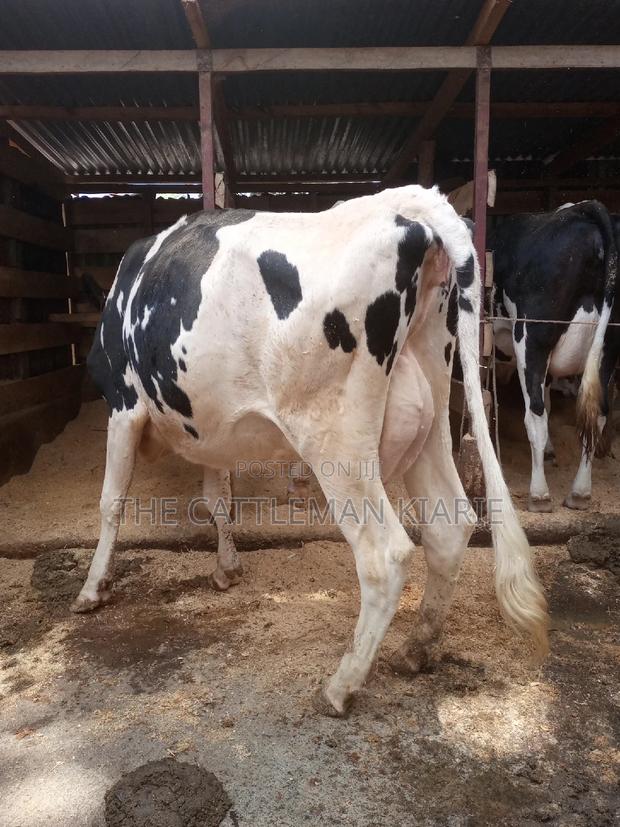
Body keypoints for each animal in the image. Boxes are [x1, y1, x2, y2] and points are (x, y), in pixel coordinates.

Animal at [74, 186, 548, 717]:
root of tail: (407, 202)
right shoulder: (211, 430)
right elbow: (217, 501)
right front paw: (226, 568)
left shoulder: (122, 404)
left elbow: (111, 502)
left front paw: (92, 588)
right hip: (431, 405)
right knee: (448, 525)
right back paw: (416, 649)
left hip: (337, 440)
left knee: (385, 553)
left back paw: (342, 684)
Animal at [491, 201, 618, 512]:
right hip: (609, 345)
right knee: (597, 413)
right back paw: (580, 492)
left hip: (532, 336)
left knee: (534, 413)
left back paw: (539, 494)